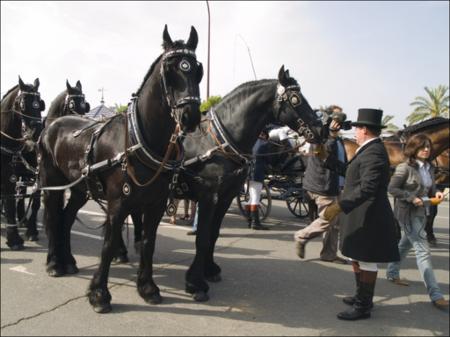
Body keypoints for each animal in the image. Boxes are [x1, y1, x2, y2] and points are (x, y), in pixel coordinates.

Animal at [0, 77, 44, 249]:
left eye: (40, 103)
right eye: (24, 103)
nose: (39, 132)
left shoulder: (9, 173)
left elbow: (10, 200)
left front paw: (14, 238)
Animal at [39, 25, 204, 312]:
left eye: (197, 70)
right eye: (170, 69)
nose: (190, 116)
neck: (141, 140)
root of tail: (51, 124)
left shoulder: (155, 204)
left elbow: (148, 243)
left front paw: (147, 287)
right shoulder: (118, 203)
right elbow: (108, 243)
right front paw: (99, 293)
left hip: (80, 189)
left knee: (67, 218)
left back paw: (68, 260)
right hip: (52, 185)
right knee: (52, 217)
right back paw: (54, 263)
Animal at [172, 65, 324, 300]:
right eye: (296, 99)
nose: (320, 130)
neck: (216, 142)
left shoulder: (225, 197)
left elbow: (213, 235)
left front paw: (210, 269)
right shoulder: (208, 197)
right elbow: (203, 237)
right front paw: (195, 283)